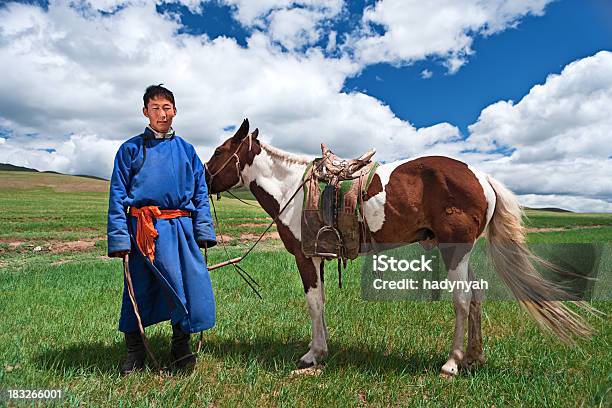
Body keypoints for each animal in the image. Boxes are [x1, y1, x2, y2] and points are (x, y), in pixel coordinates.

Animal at [204, 119, 592, 378]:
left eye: (220, 150)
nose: (201, 176)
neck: (292, 190)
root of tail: (482, 178)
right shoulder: (320, 257)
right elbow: (322, 303)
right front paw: (323, 350)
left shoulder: (306, 257)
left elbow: (313, 304)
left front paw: (313, 355)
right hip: (463, 253)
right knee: (476, 296)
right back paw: (473, 357)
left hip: (454, 251)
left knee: (462, 299)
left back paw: (452, 363)